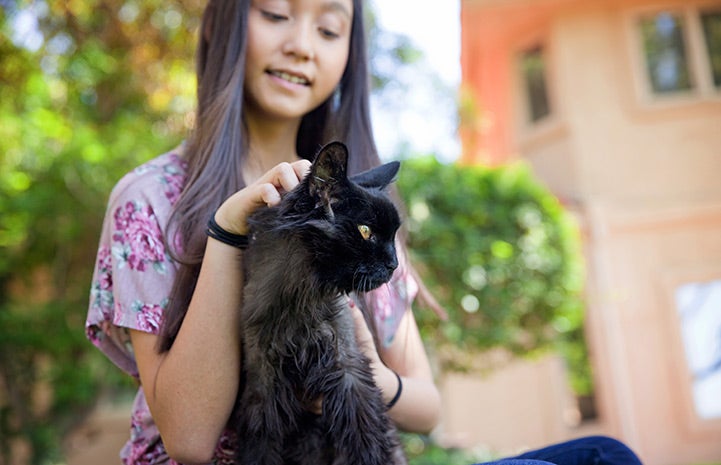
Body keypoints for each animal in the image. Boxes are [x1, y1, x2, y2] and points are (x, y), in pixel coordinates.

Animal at [235, 141, 408, 464]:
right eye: (366, 231)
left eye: (393, 237)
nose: (394, 264)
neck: (299, 301)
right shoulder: (263, 380)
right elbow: (260, 445)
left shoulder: (348, 367)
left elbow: (368, 440)